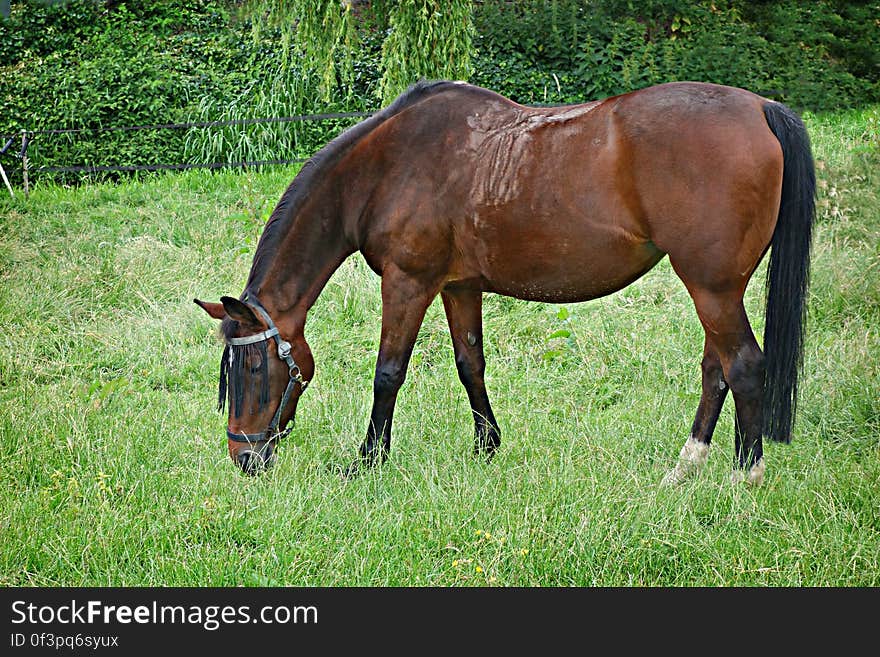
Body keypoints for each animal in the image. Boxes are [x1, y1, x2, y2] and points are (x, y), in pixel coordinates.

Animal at [196, 80, 816, 482]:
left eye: (252, 368)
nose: (243, 459)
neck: (385, 167)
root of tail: (761, 107)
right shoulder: (458, 286)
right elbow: (470, 363)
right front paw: (487, 447)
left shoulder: (408, 282)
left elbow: (388, 373)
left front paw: (368, 460)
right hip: (717, 288)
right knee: (718, 369)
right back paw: (686, 466)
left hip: (712, 287)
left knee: (744, 365)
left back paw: (745, 475)